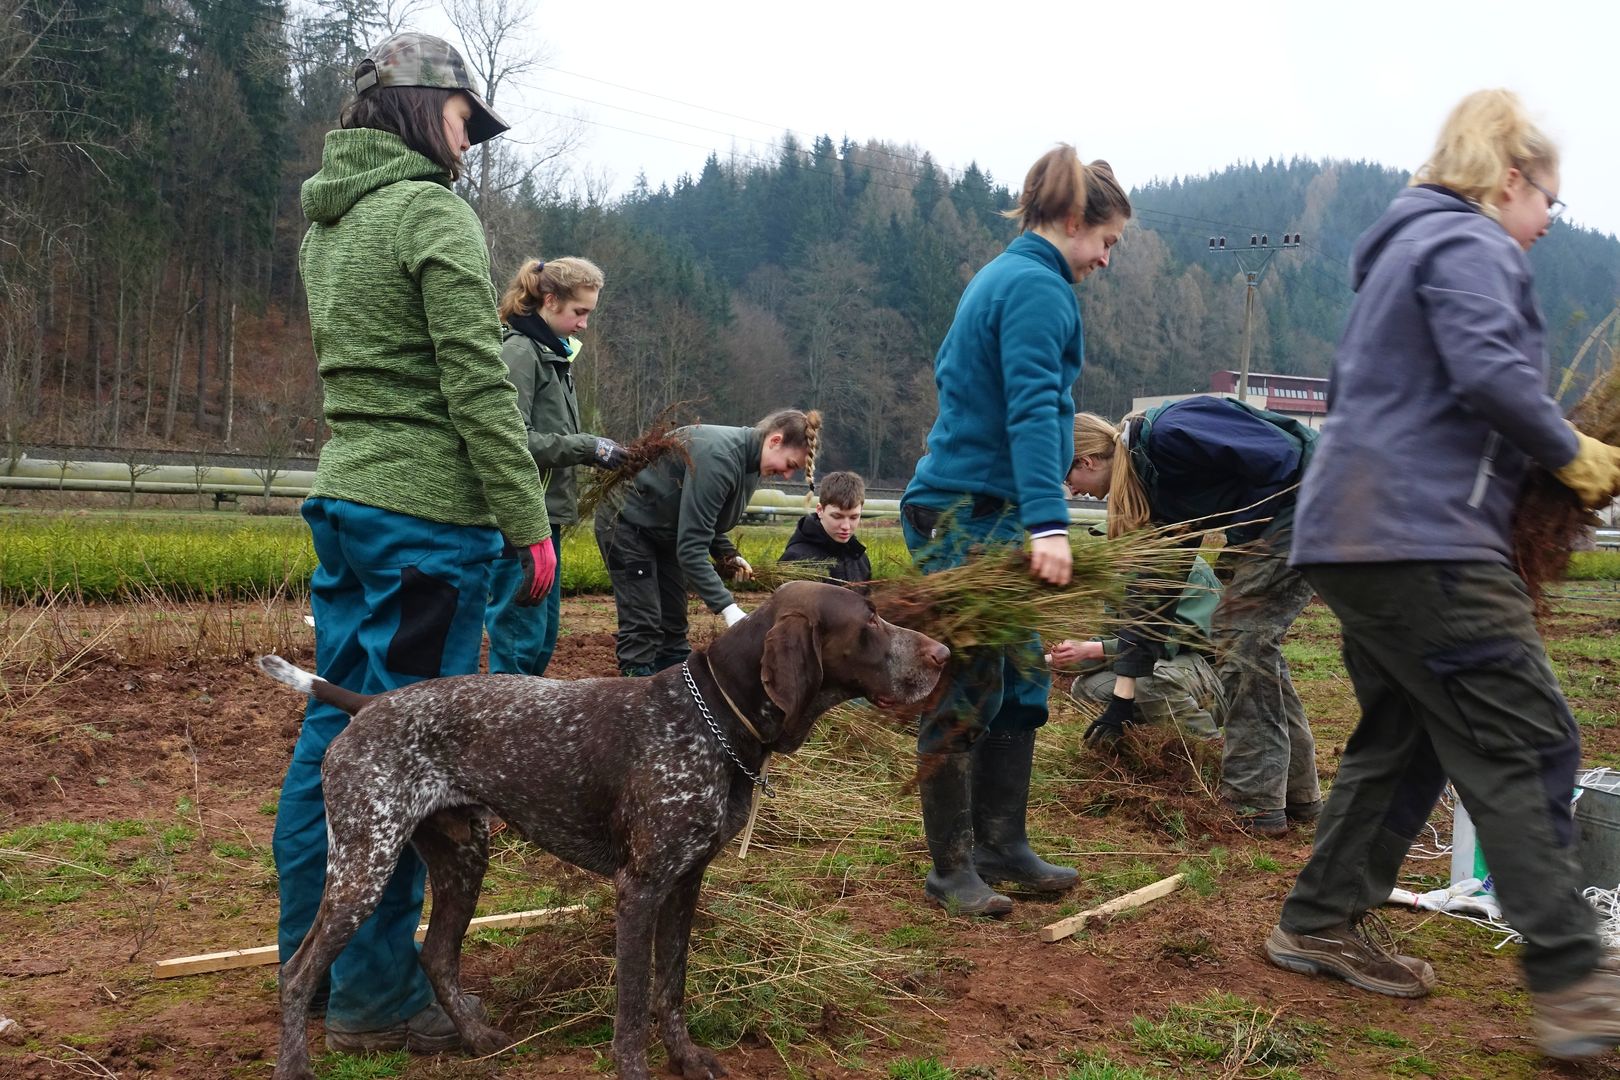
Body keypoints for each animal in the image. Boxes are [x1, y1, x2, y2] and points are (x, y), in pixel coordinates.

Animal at [259, 582, 946, 1080]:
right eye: (870, 623)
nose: (942, 656)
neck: (714, 719)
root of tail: (367, 704)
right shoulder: (638, 888)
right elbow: (634, 1001)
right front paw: (635, 1069)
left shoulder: (685, 883)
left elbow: (671, 986)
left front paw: (685, 1058)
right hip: (364, 863)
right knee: (297, 971)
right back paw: (295, 1066)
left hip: (463, 857)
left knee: (437, 954)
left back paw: (479, 1039)